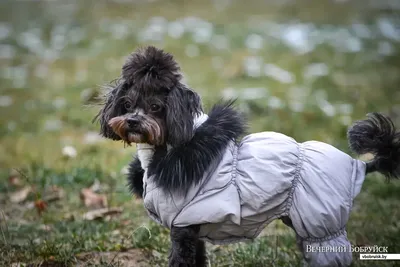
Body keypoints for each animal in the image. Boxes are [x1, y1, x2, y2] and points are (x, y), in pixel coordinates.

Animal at [94, 46, 400, 267]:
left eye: (157, 107)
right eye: (127, 103)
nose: (133, 121)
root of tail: (357, 164)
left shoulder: (182, 228)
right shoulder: (194, 231)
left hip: (321, 227)